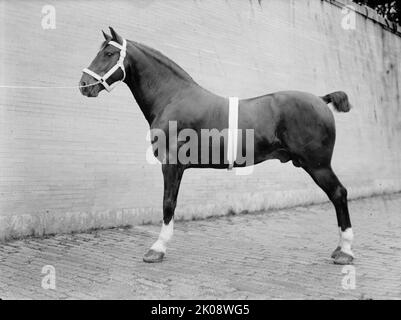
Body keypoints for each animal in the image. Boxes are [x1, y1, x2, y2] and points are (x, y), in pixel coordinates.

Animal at [78, 27, 354, 264]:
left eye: (109, 53)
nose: (83, 85)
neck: (173, 97)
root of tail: (320, 99)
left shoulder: (171, 165)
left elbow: (168, 204)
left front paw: (157, 249)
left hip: (318, 165)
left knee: (339, 194)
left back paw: (346, 252)